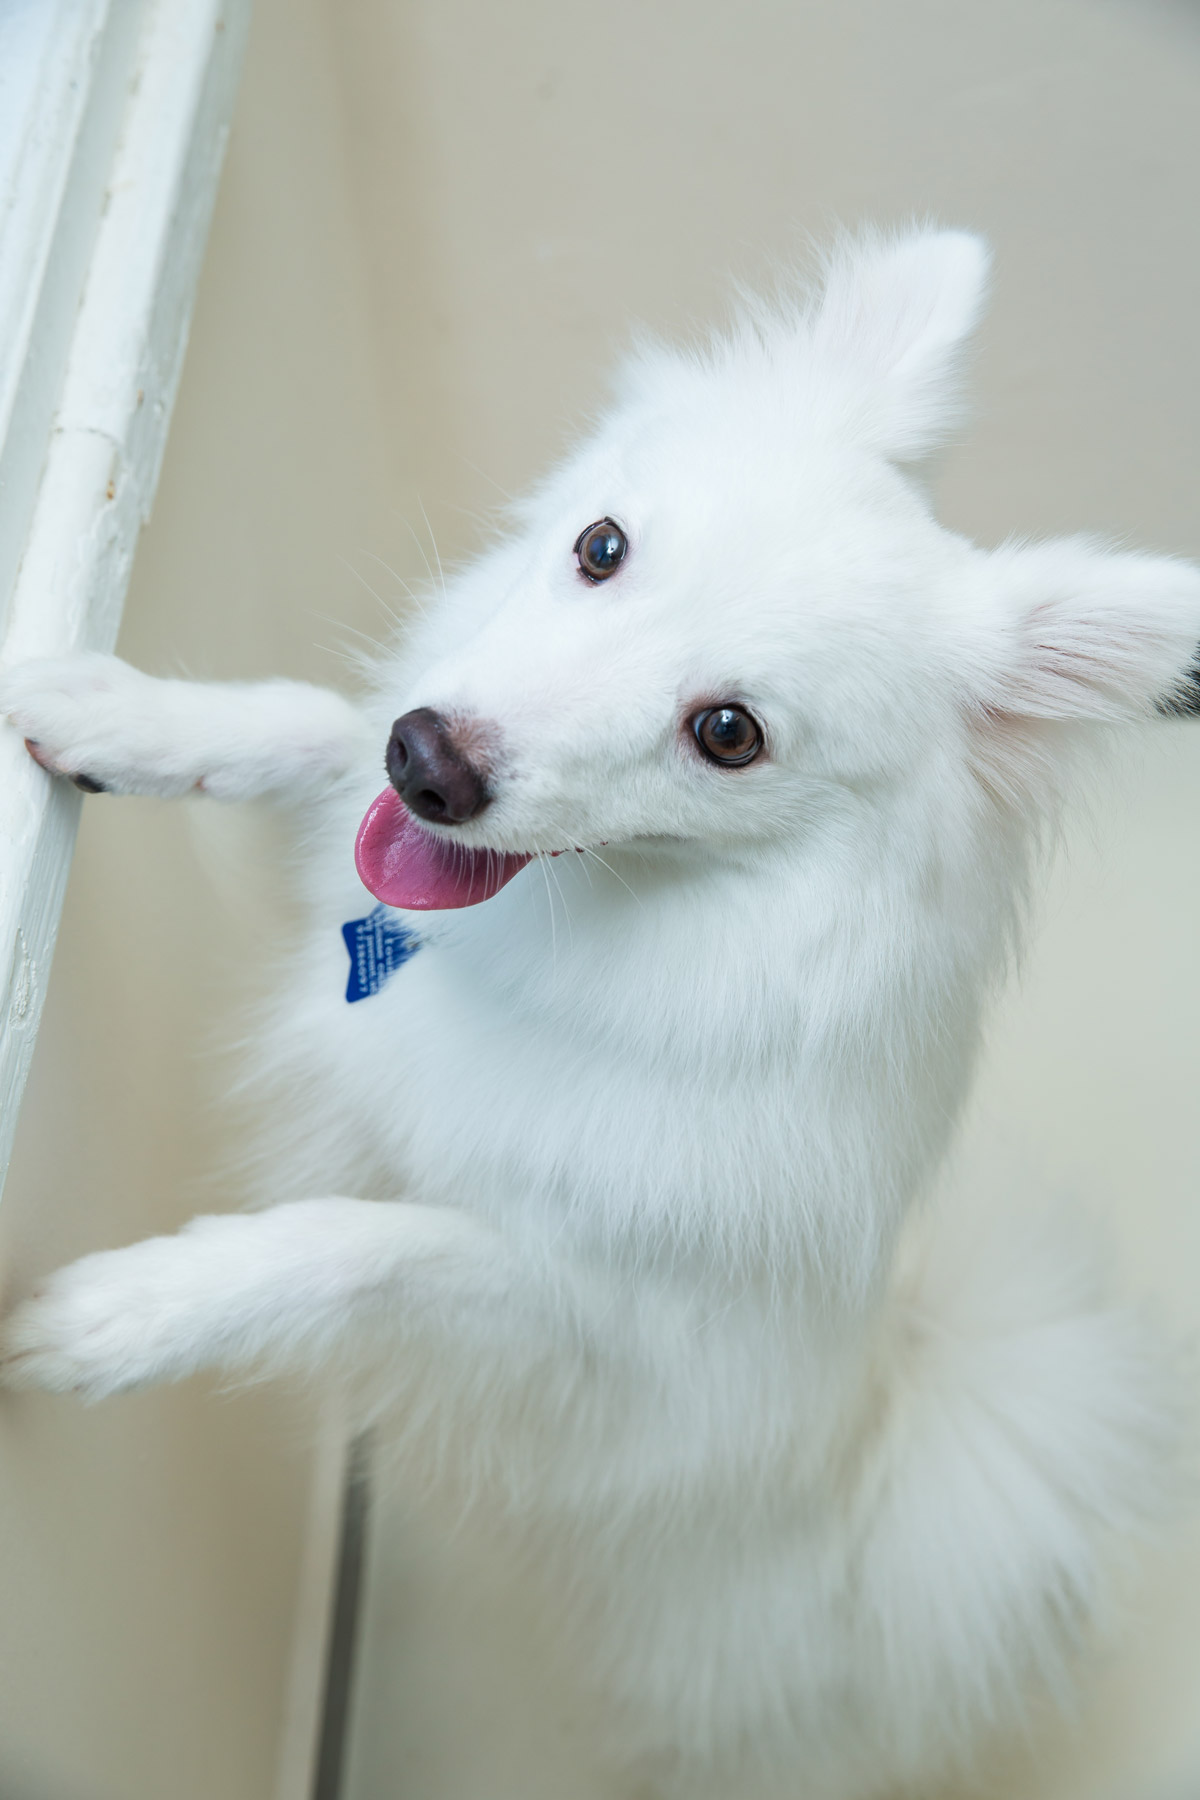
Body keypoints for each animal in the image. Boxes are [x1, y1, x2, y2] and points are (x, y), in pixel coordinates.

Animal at [2, 228, 1200, 1800]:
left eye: (729, 734)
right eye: (602, 548)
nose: (431, 760)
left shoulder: (576, 1320)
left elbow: (358, 1241)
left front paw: (125, 1314)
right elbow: (306, 724)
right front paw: (120, 713)